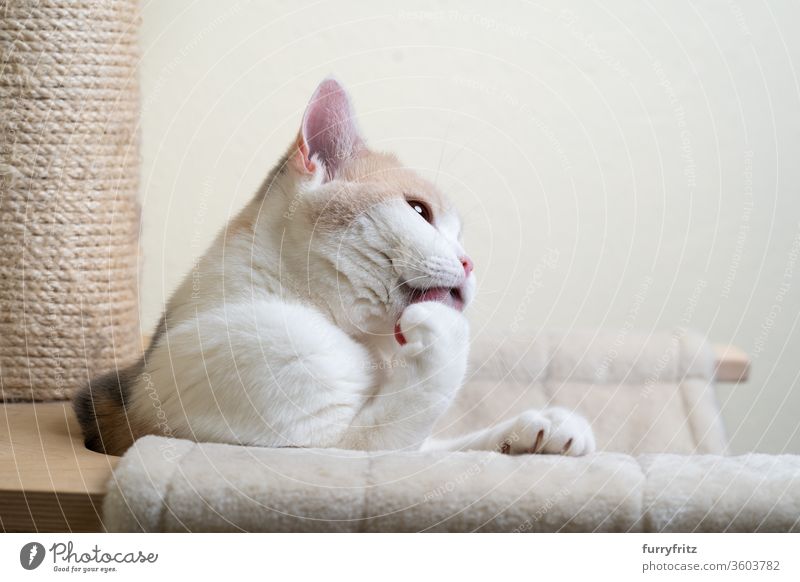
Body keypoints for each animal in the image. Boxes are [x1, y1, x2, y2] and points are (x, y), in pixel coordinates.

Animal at [75, 78, 596, 460]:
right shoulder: (331, 446)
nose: (470, 263)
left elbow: (449, 446)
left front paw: (542, 429)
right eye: (420, 212)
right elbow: (415, 407)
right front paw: (445, 332)